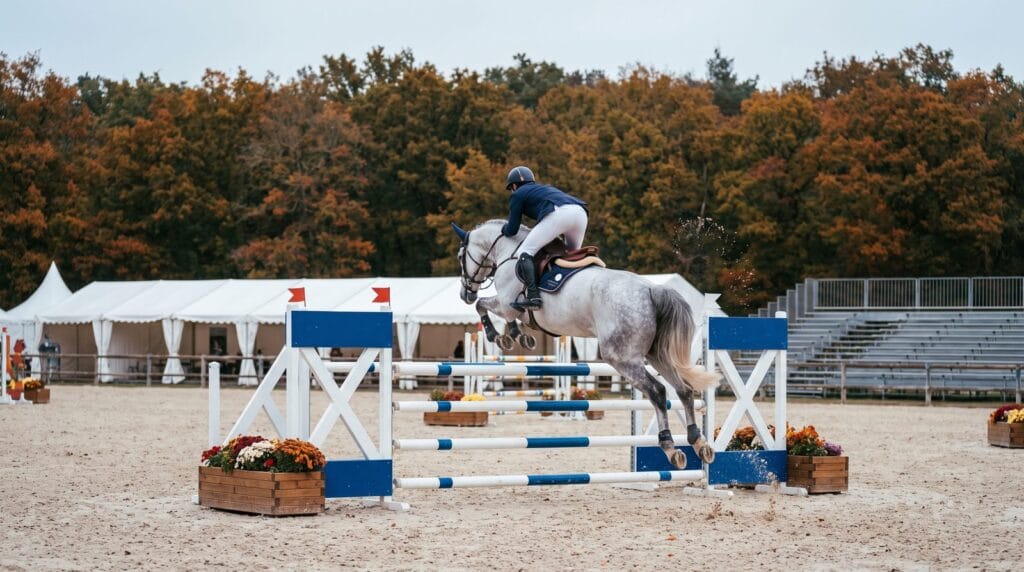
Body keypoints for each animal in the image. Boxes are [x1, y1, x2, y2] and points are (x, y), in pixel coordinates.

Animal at [452, 220, 720, 467]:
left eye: (460, 256)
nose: (465, 294)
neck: (510, 252)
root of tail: (651, 290)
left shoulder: (507, 304)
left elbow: (484, 306)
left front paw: (496, 335)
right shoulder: (512, 309)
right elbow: (503, 317)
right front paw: (518, 336)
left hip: (622, 358)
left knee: (658, 391)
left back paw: (670, 447)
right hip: (657, 355)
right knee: (684, 389)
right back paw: (699, 442)